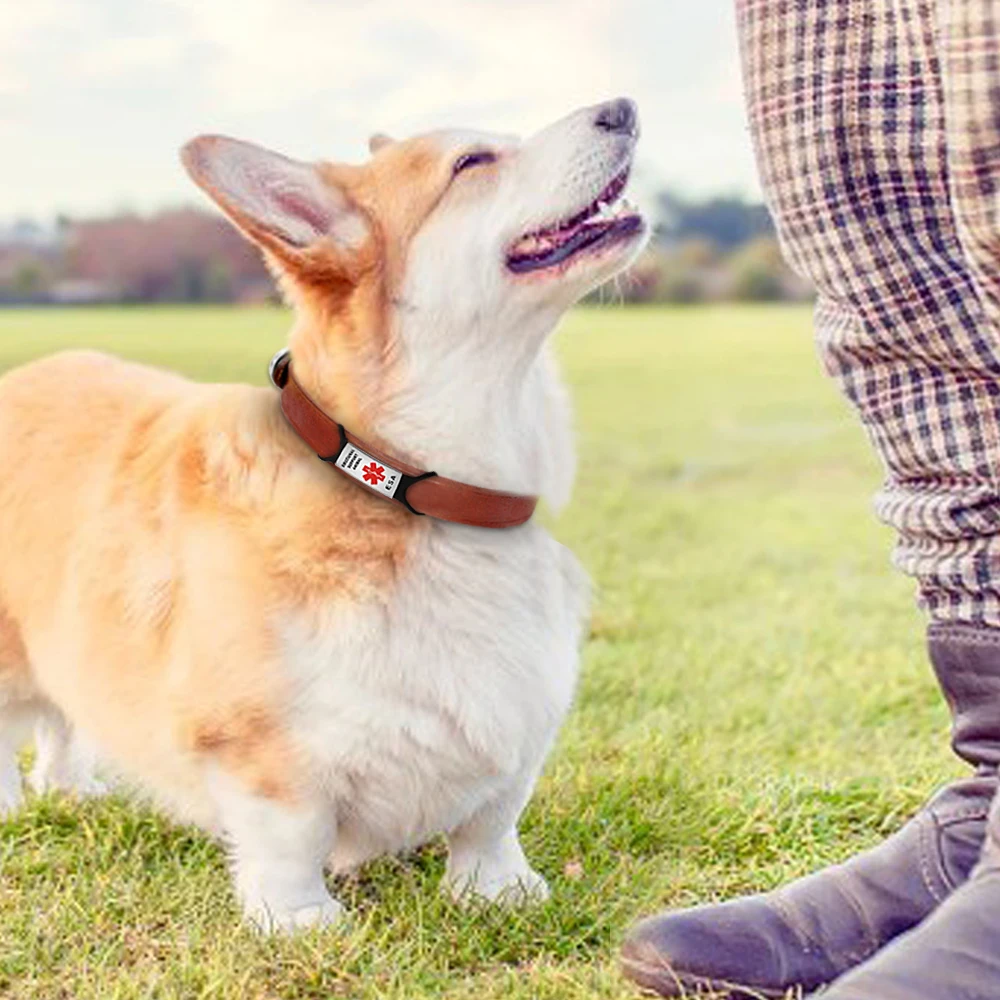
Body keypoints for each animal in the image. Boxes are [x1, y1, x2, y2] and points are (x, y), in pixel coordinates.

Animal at [0, 97, 644, 924]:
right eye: (472, 163)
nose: (621, 108)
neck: (415, 489)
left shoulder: (519, 725)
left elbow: (492, 819)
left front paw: (498, 891)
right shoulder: (263, 753)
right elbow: (292, 834)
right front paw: (302, 921)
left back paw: (72, 789)